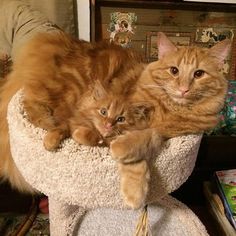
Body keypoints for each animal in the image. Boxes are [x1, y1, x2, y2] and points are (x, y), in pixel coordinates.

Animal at [110, 31, 230, 208]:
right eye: (174, 70)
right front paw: (134, 191)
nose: (183, 90)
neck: (170, 109)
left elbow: (148, 136)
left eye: (199, 74)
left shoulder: (167, 132)